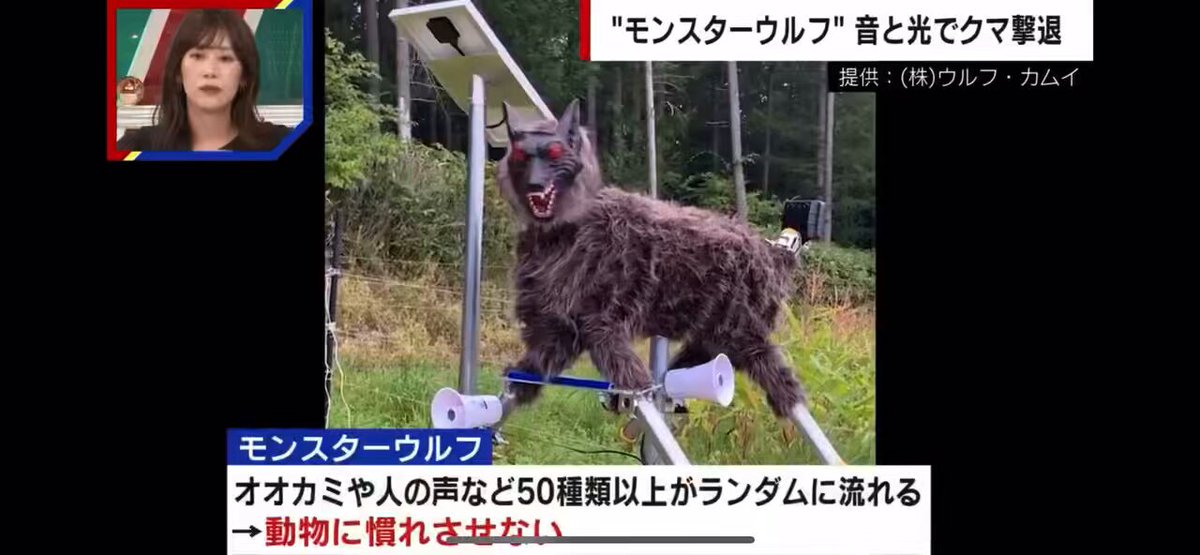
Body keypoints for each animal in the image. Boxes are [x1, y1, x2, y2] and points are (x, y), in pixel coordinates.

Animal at [494, 99, 807, 421]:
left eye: (555, 154)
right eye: (521, 156)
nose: (534, 184)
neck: (564, 230)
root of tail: (772, 252)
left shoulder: (601, 320)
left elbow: (621, 364)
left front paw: (632, 388)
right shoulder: (561, 325)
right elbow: (540, 360)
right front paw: (521, 382)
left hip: (743, 330)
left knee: (773, 368)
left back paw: (787, 399)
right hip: (713, 331)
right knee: (690, 362)